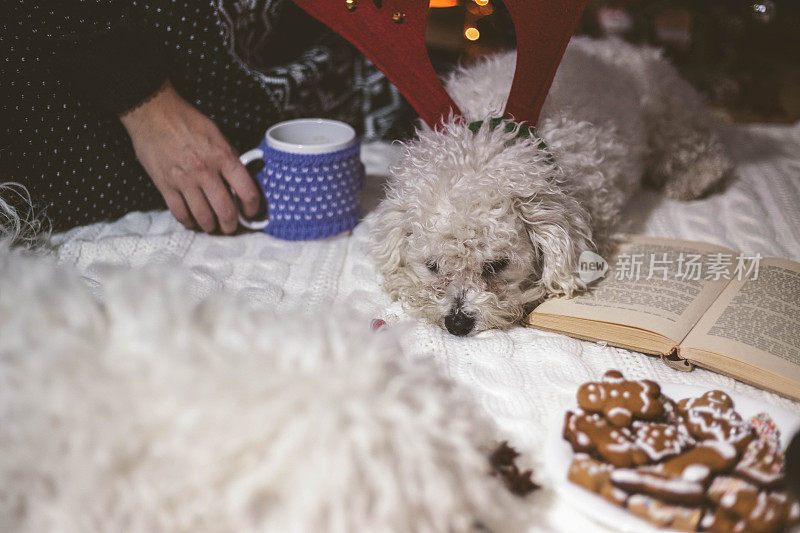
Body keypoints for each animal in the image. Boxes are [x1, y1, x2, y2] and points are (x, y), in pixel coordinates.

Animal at [370, 38, 732, 336]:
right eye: (432, 266)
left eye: (497, 265)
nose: (457, 323)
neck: (488, 141)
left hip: (667, 111)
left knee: (698, 143)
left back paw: (694, 178)